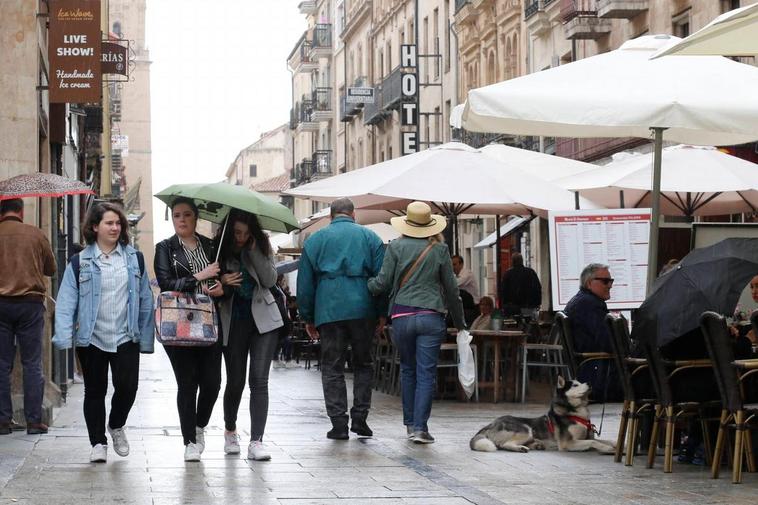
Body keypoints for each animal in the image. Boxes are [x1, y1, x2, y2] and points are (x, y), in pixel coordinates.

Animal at [470, 374, 616, 452]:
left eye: (580, 382)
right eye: (575, 385)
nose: (590, 383)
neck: (575, 412)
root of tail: (491, 423)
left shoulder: (588, 437)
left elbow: (607, 440)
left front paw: (618, 446)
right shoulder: (567, 443)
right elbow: (593, 442)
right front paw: (607, 449)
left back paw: (536, 445)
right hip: (525, 429)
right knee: (503, 445)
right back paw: (521, 448)